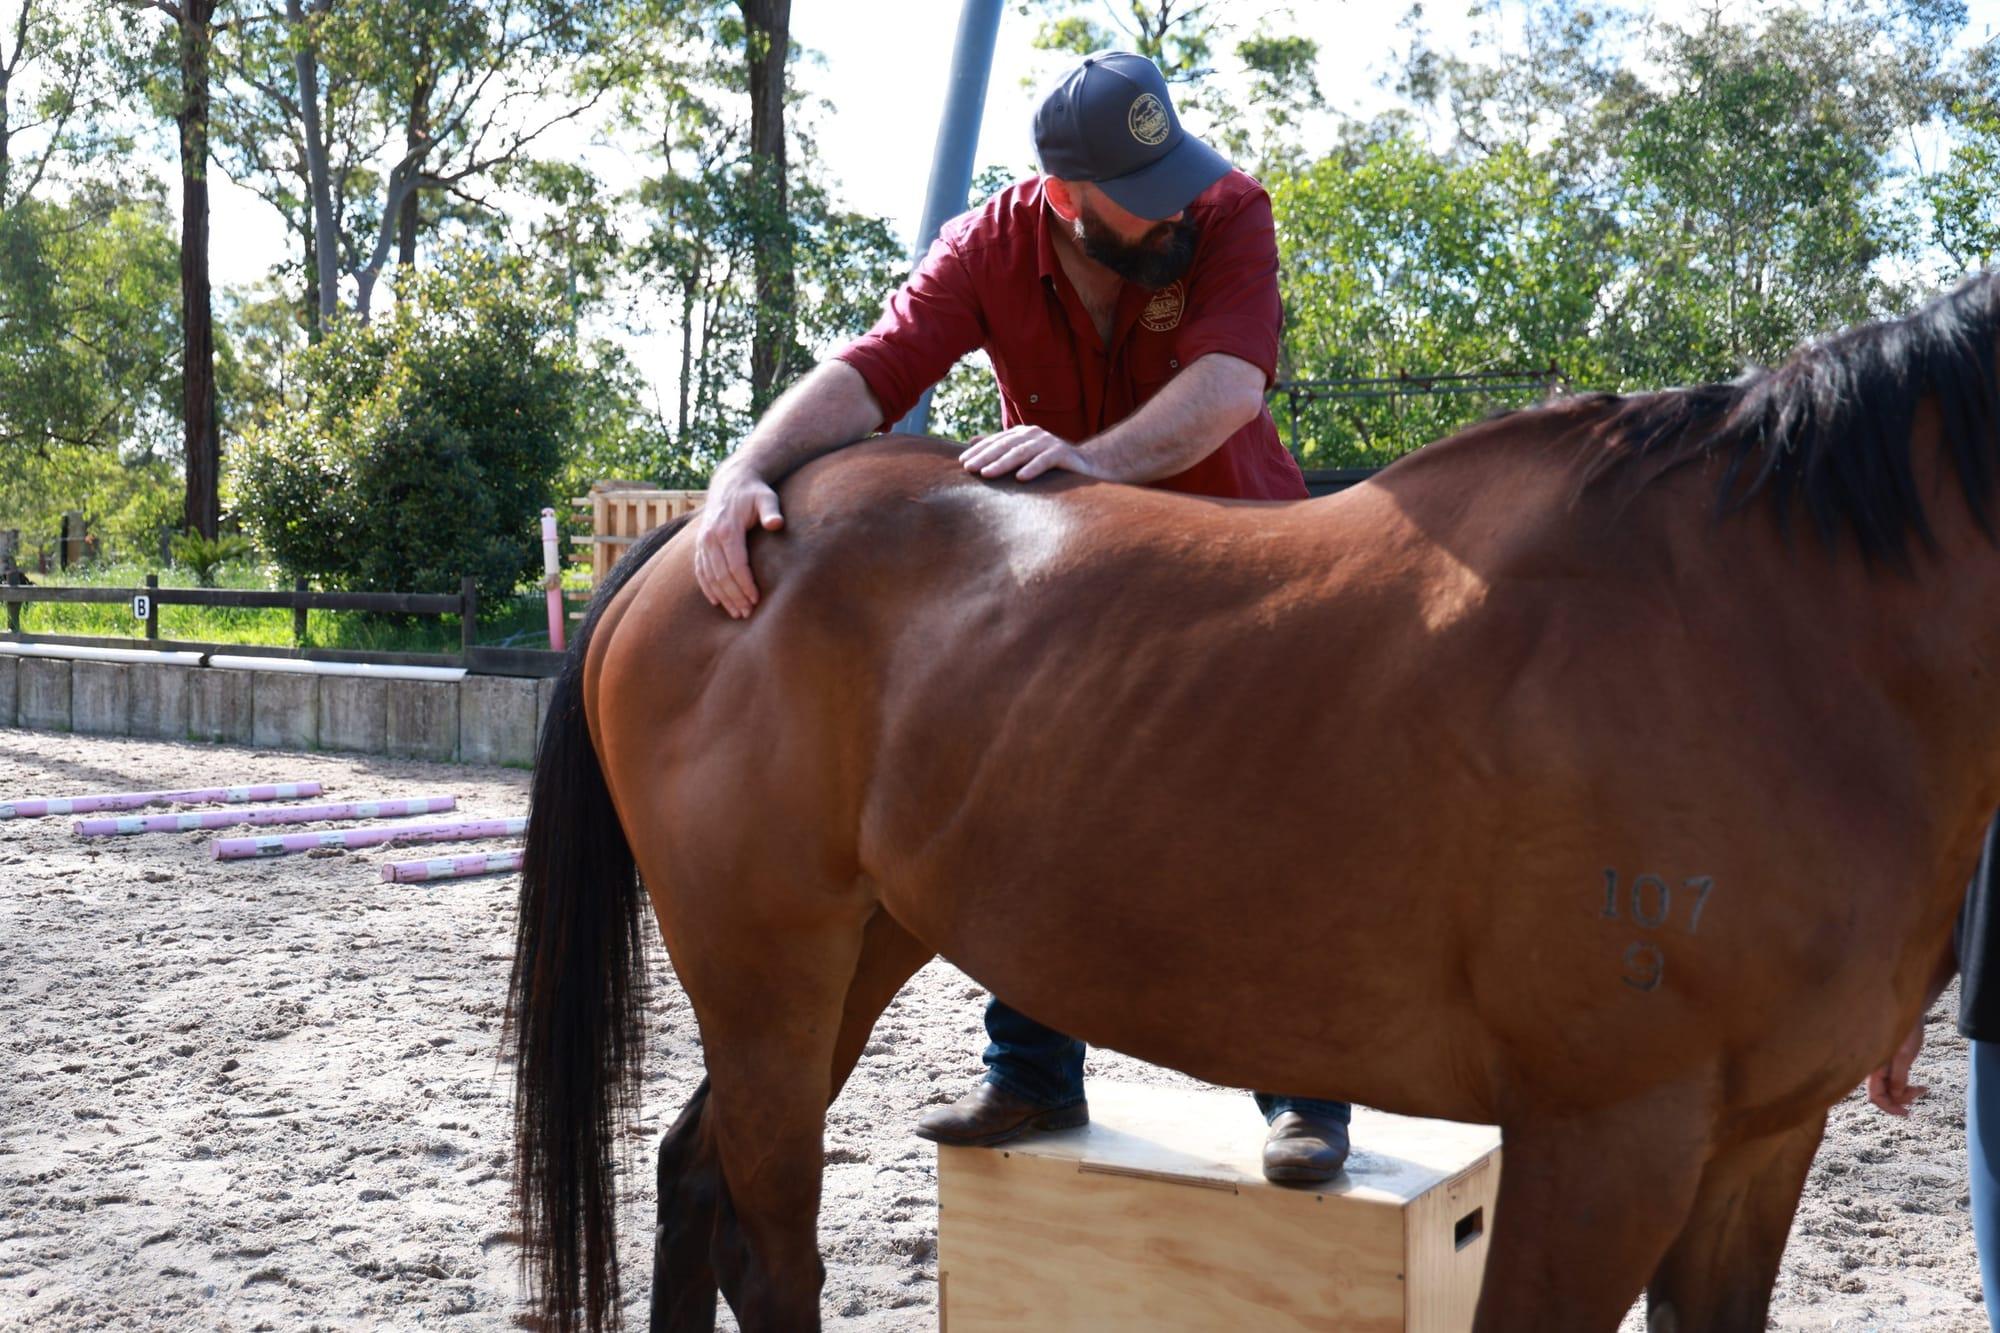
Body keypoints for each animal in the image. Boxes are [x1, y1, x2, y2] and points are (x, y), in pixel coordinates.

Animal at [507, 269, 2000, 1332]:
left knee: (701, 1176)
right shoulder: (1602, 1142)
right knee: (770, 1242)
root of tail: (719, 526)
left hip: (861, 949)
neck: (1765, 627)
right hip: (768, 964)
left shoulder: (1763, 1138)